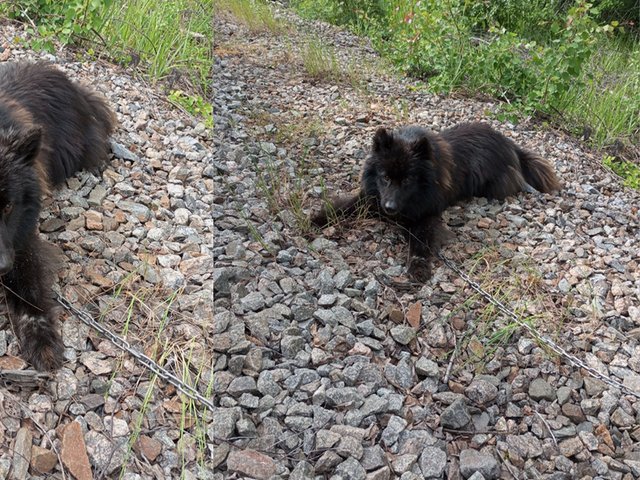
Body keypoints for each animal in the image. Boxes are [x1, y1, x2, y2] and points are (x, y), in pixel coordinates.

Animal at [314, 123, 560, 282]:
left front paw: (419, 267)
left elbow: (420, 242)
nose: (389, 208)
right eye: (385, 177)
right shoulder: (372, 198)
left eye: (407, 180)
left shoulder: (426, 216)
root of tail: (509, 144)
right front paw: (317, 219)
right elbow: (342, 207)